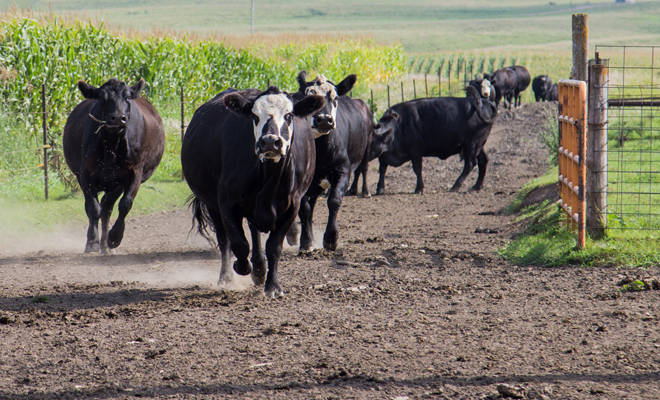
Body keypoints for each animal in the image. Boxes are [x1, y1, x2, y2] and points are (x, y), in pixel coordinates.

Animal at [63, 78, 165, 254]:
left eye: (128, 97)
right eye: (101, 98)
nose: (117, 118)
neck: (111, 146)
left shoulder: (135, 173)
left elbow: (125, 204)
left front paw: (115, 237)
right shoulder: (85, 173)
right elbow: (93, 207)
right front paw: (92, 242)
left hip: (117, 184)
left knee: (107, 207)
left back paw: (106, 245)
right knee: (98, 208)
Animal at [181, 86, 325, 298]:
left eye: (289, 115)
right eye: (255, 116)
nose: (270, 142)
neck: (269, 177)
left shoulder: (292, 206)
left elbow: (274, 246)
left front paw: (273, 286)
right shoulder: (226, 203)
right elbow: (238, 244)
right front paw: (242, 267)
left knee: (254, 233)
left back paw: (259, 270)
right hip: (212, 205)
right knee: (224, 241)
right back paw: (227, 277)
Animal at [290, 71, 372, 252]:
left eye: (334, 98)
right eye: (309, 97)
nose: (324, 119)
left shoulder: (343, 170)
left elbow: (334, 201)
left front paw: (331, 238)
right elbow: (304, 209)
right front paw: (306, 242)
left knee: (363, 168)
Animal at [368, 86, 497, 195]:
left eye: (371, 142)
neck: (396, 128)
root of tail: (483, 102)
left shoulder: (416, 153)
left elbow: (417, 169)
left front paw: (419, 188)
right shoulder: (383, 157)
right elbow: (382, 170)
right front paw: (380, 189)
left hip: (471, 144)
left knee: (470, 164)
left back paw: (455, 186)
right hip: (479, 145)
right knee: (483, 161)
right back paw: (476, 187)